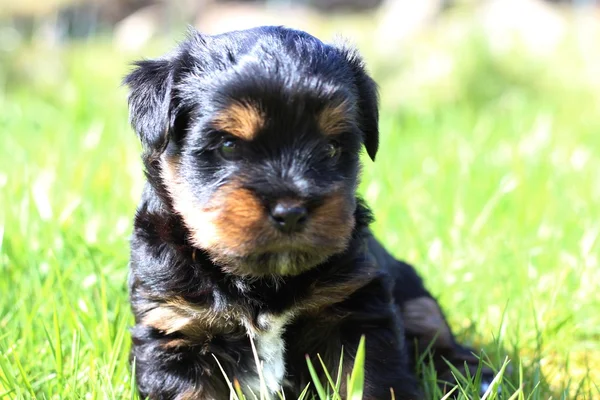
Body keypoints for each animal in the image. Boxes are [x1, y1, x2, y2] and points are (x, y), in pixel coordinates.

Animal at [124, 26, 490, 398]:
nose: (290, 212)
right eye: (228, 146)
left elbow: (370, 383)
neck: (262, 282)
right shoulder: (175, 329)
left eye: (330, 149)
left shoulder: (359, 313)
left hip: (417, 300)